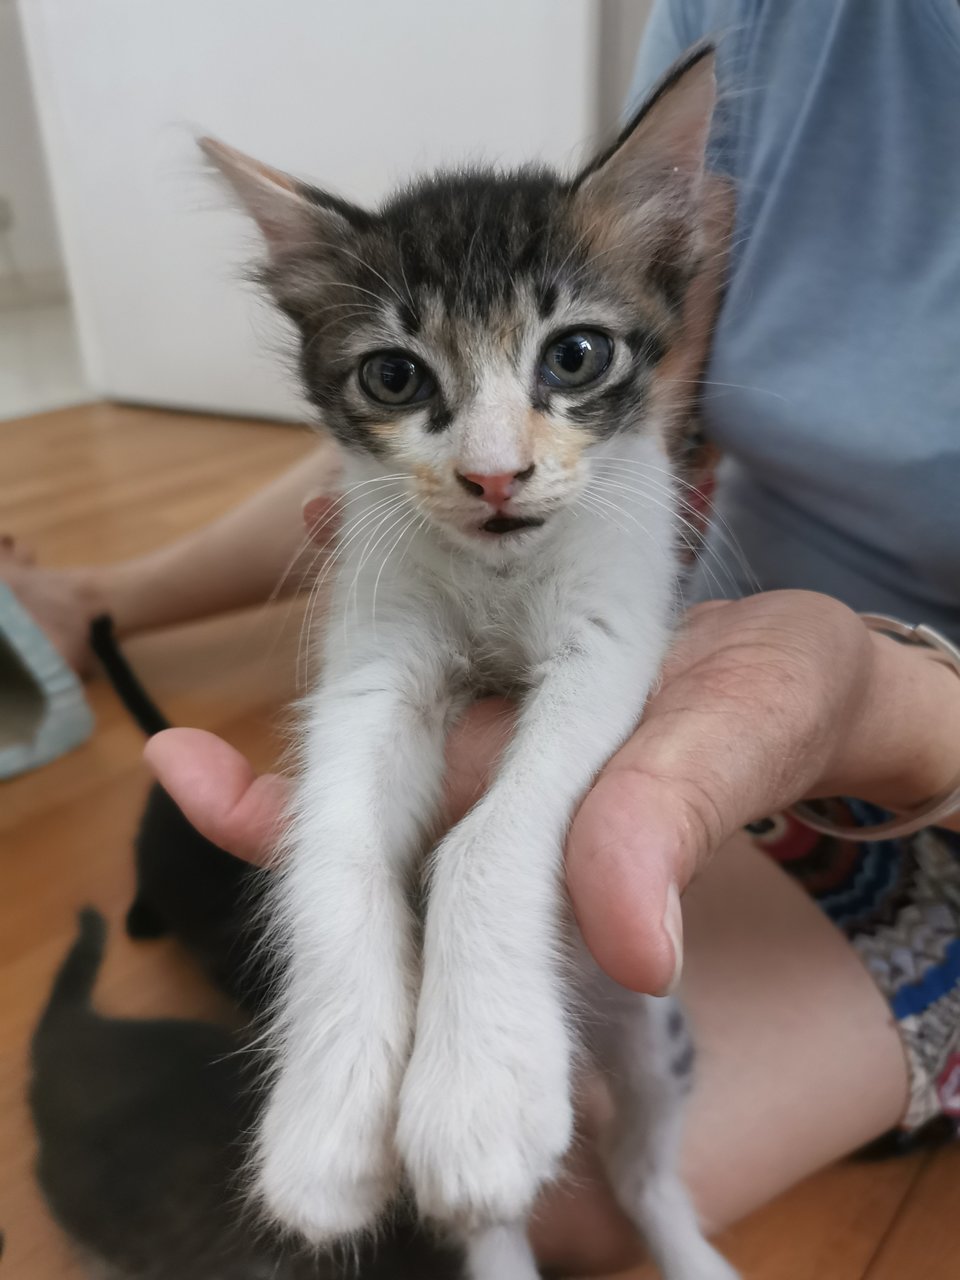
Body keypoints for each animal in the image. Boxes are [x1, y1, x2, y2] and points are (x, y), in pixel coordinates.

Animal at [204, 42, 737, 1280]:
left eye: (575, 354)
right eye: (395, 377)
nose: (495, 475)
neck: (497, 572)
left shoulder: (614, 636)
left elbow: (487, 841)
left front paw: (479, 1090)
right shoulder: (373, 649)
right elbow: (334, 850)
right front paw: (325, 1120)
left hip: (654, 1019)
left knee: (640, 1163)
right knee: (491, 1214)